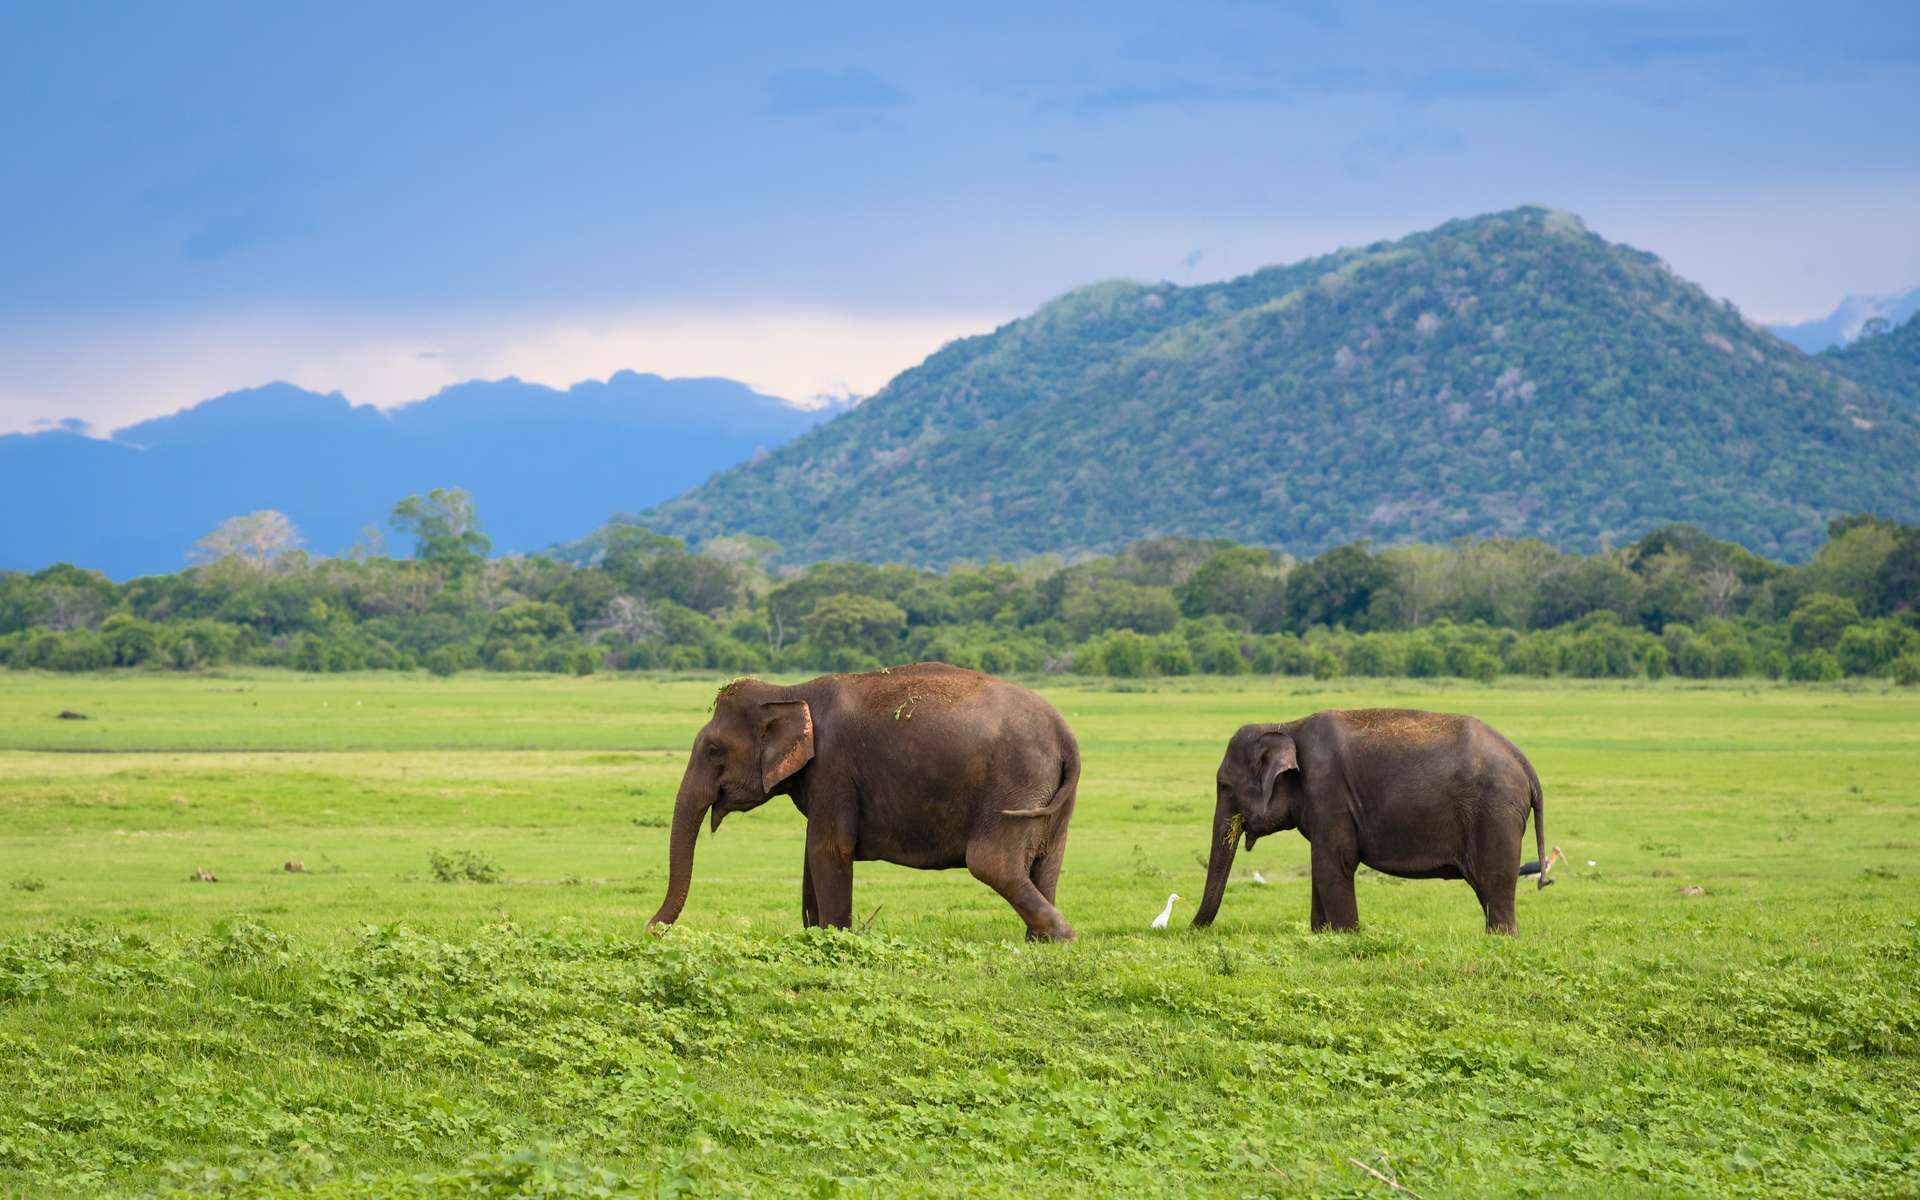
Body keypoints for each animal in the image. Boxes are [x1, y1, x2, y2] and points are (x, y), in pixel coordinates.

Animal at [645, 660, 1082, 940]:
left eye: (714, 750)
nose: (651, 931)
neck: (789, 692)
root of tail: (1065, 734)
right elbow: (812, 853)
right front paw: (813, 935)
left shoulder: (833, 768)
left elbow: (829, 849)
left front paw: (835, 937)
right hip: (1051, 797)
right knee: (1048, 862)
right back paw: (1040, 942)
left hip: (1013, 782)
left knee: (992, 863)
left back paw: (1063, 937)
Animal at [1190, 706, 1551, 933]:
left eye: (1224, 785)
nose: (1189, 929)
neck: (1286, 726)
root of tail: (1527, 765)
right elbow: (1322, 867)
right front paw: (1322, 935)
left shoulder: (1329, 793)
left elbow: (1334, 863)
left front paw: (1345, 935)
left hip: (1495, 814)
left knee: (1494, 885)